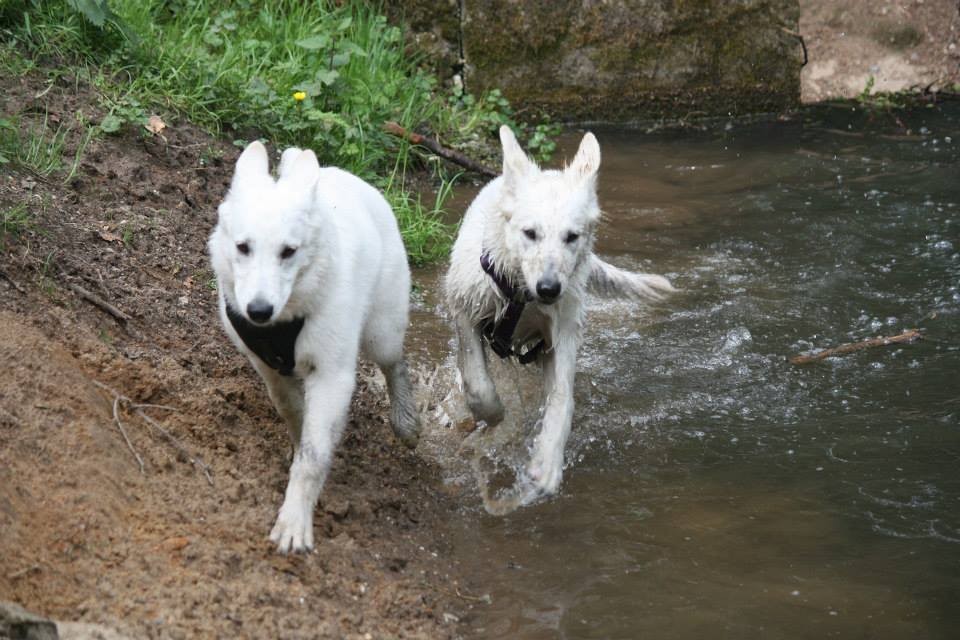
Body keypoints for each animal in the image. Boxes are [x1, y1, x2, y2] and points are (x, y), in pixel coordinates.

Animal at [210, 142, 420, 552]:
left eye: (288, 252)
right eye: (243, 247)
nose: (258, 311)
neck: (288, 316)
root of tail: (341, 175)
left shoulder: (332, 376)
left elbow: (312, 457)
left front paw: (295, 520)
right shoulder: (269, 368)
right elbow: (295, 416)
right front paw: (297, 444)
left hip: (381, 332)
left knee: (395, 364)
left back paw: (405, 420)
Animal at [444, 126, 676, 500]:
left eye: (572, 236)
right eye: (530, 233)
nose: (549, 289)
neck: (522, 293)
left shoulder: (561, 334)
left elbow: (562, 400)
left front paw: (547, 463)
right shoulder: (465, 304)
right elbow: (478, 382)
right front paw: (491, 414)